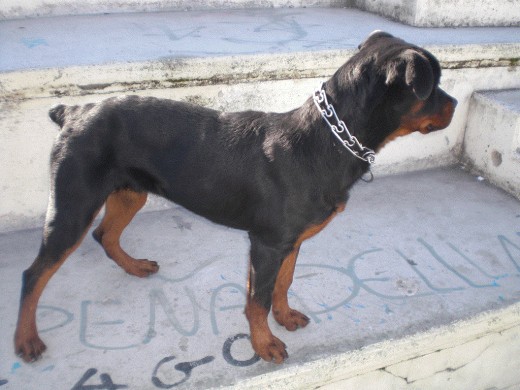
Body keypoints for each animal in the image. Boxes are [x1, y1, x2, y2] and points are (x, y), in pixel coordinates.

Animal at [14, 32, 458, 364]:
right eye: (432, 86)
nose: (454, 103)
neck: (325, 142)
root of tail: (73, 111)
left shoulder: (289, 241)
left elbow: (281, 284)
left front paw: (284, 317)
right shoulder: (267, 244)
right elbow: (257, 300)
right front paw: (264, 345)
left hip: (129, 192)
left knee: (105, 235)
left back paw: (134, 266)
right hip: (73, 204)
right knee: (34, 273)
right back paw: (26, 340)